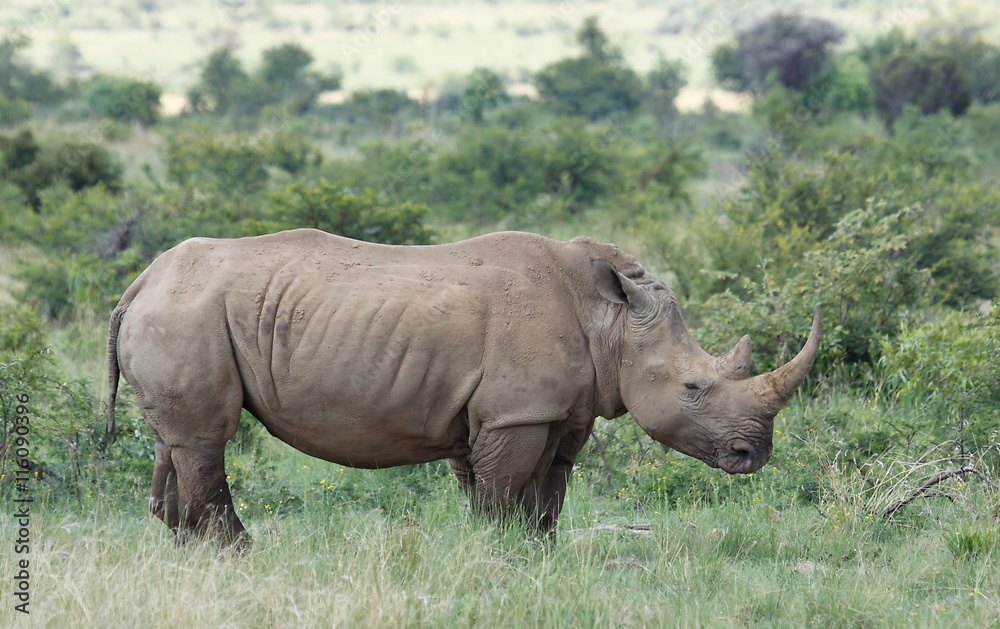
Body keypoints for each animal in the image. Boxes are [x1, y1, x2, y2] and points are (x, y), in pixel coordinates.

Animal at [107, 229, 820, 545]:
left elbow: (544, 491)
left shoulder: (551, 411)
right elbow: (501, 492)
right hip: (188, 312)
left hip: (181, 313)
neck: (611, 320)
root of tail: (141, 280)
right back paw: (239, 553)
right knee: (208, 436)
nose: (753, 455)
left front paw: (537, 555)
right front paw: (496, 554)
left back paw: (187, 548)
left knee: (176, 439)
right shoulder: (515, 413)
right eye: (694, 386)